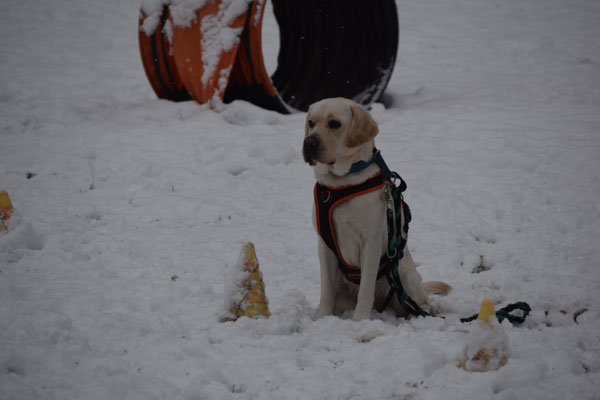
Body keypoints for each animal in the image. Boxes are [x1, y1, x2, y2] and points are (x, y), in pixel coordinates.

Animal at [302, 97, 448, 322]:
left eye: (334, 124)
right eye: (311, 123)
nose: (308, 142)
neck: (342, 183)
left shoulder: (369, 241)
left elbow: (366, 288)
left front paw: (359, 320)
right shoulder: (324, 243)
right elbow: (325, 288)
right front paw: (322, 318)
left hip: (405, 276)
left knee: (420, 301)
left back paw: (422, 313)